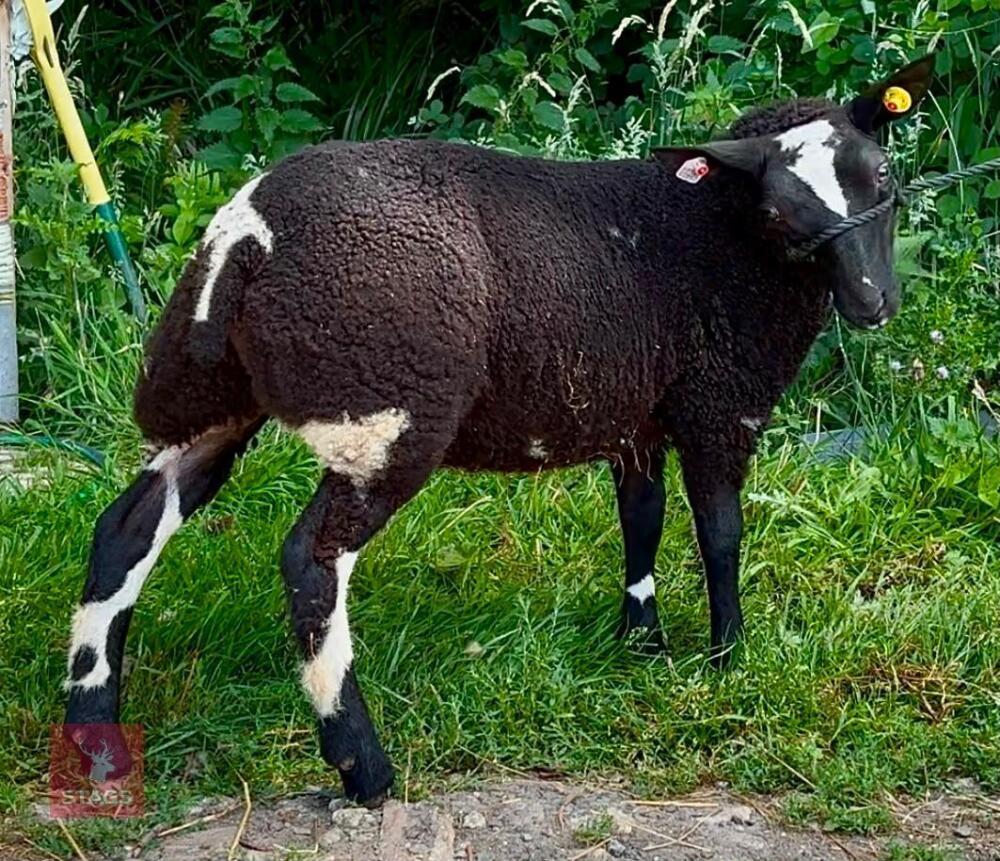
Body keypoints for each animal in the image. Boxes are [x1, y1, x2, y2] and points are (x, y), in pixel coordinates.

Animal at [62, 57, 934, 806]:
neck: (713, 232)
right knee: (310, 562)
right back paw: (363, 766)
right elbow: (720, 532)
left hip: (208, 398)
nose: (873, 303)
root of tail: (247, 236)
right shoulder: (720, 405)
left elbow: (642, 519)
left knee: (125, 530)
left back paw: (95, 735)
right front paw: (728, 659)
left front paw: (641, 640)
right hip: (385, 411)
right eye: (780, 213)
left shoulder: (634, 414)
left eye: (882, 179)